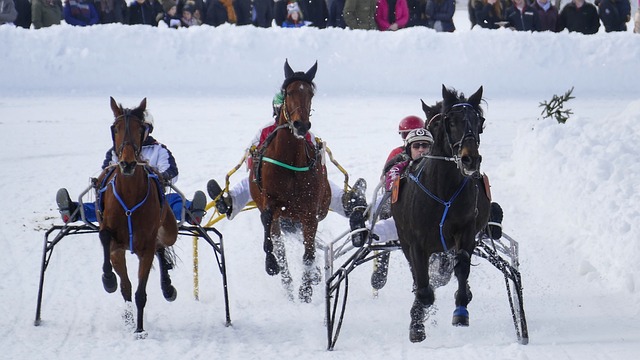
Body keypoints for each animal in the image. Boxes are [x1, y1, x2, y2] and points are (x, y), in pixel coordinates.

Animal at [96, 96, 179, 338]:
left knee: (162, 246)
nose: (127, 163)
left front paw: (140, 329)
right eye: (115, 128)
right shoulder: (115, 246)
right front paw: (108, 279)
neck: (130, 196)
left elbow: (140, 293)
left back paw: (167, 286)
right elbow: (124, 286)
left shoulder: (146, 247)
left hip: (168, 229)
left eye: (140, 128)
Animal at [249, 60, 332, 302]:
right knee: (280, 247)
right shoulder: (269, 199)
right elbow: (267, 220)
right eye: (288, 92)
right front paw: (271, 264)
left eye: (310, 93)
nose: (300, 125)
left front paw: (306, 289)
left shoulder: (310, 211)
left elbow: (309, 253)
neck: (291, 161)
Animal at [390, 86, 490, 342]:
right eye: (449, 121)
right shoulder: (415, 241)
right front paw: (418, 320)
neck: (442, 189)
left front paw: (461, 310)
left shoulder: (466, 230)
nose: (470, 158)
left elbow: (462, 265)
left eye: (479, 121)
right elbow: (423, 285)